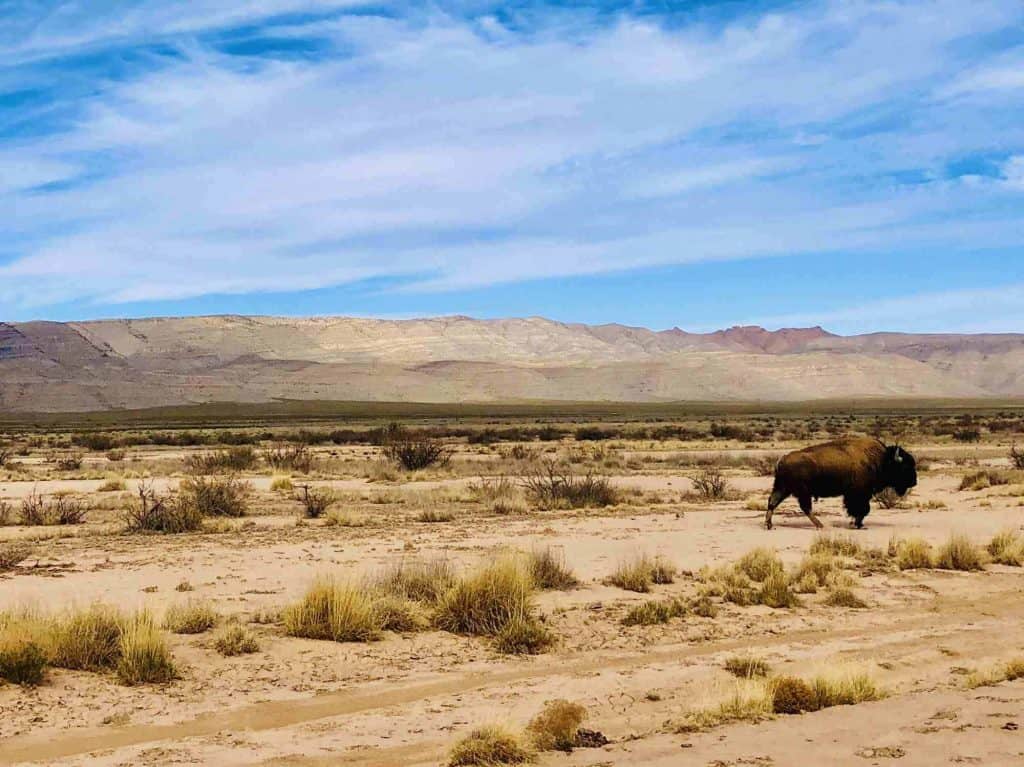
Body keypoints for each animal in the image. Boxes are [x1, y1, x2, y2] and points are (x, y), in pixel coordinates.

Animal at [765, 434, 917, 528]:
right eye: (905, 467)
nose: (914, 482)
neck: (882, 459)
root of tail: (782, 459)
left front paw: (858, 524)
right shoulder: (859, 494)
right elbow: (862, 509)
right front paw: (857, 524)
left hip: (783, 488)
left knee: (773, 501)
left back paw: (769, 525)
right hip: (801, 491)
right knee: (805, 507)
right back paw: (820, 525)